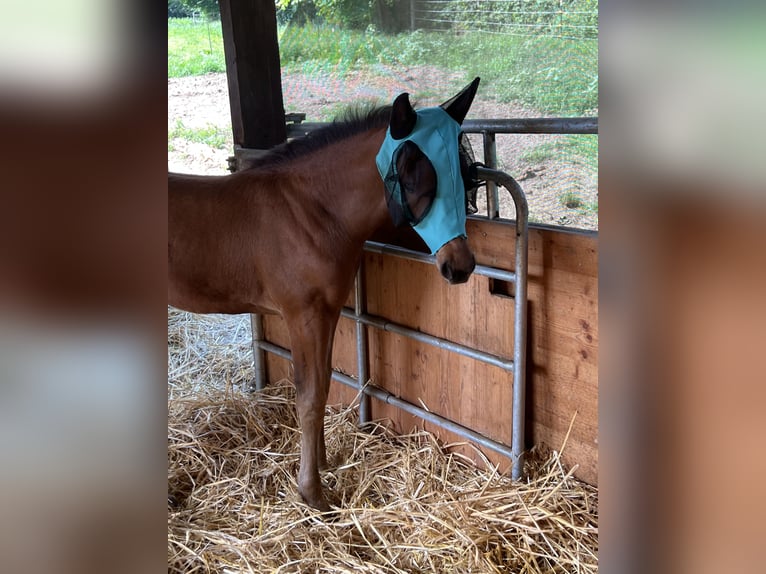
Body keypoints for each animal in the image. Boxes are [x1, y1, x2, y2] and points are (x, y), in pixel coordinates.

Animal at [170, 77, 480, 512]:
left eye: (468, 175)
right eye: (413, 178)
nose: (460, 266)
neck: (310, 211)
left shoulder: (328, 312)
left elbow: (326, 383)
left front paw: (324, 463)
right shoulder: (303, 315)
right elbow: (310, 396)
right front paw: (312, 492)